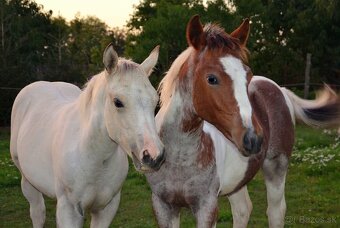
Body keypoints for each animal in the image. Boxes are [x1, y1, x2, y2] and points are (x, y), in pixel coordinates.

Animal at [10, 43, 165, 227]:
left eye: (155, 101)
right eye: (117, 102)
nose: (154, 156)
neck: (94, 159)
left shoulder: (106, 209)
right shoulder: (69, 211)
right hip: (28, 182)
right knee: (38, 213)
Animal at [147, 15, 340, 227]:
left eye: (248, 75)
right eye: (211, 78)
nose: (253, 139)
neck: (179, 158)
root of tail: (281, 89)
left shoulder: (207, 206)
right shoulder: (163, 205)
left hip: (276, 167)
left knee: (276, 211)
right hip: (237, 180)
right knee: (243, 210)